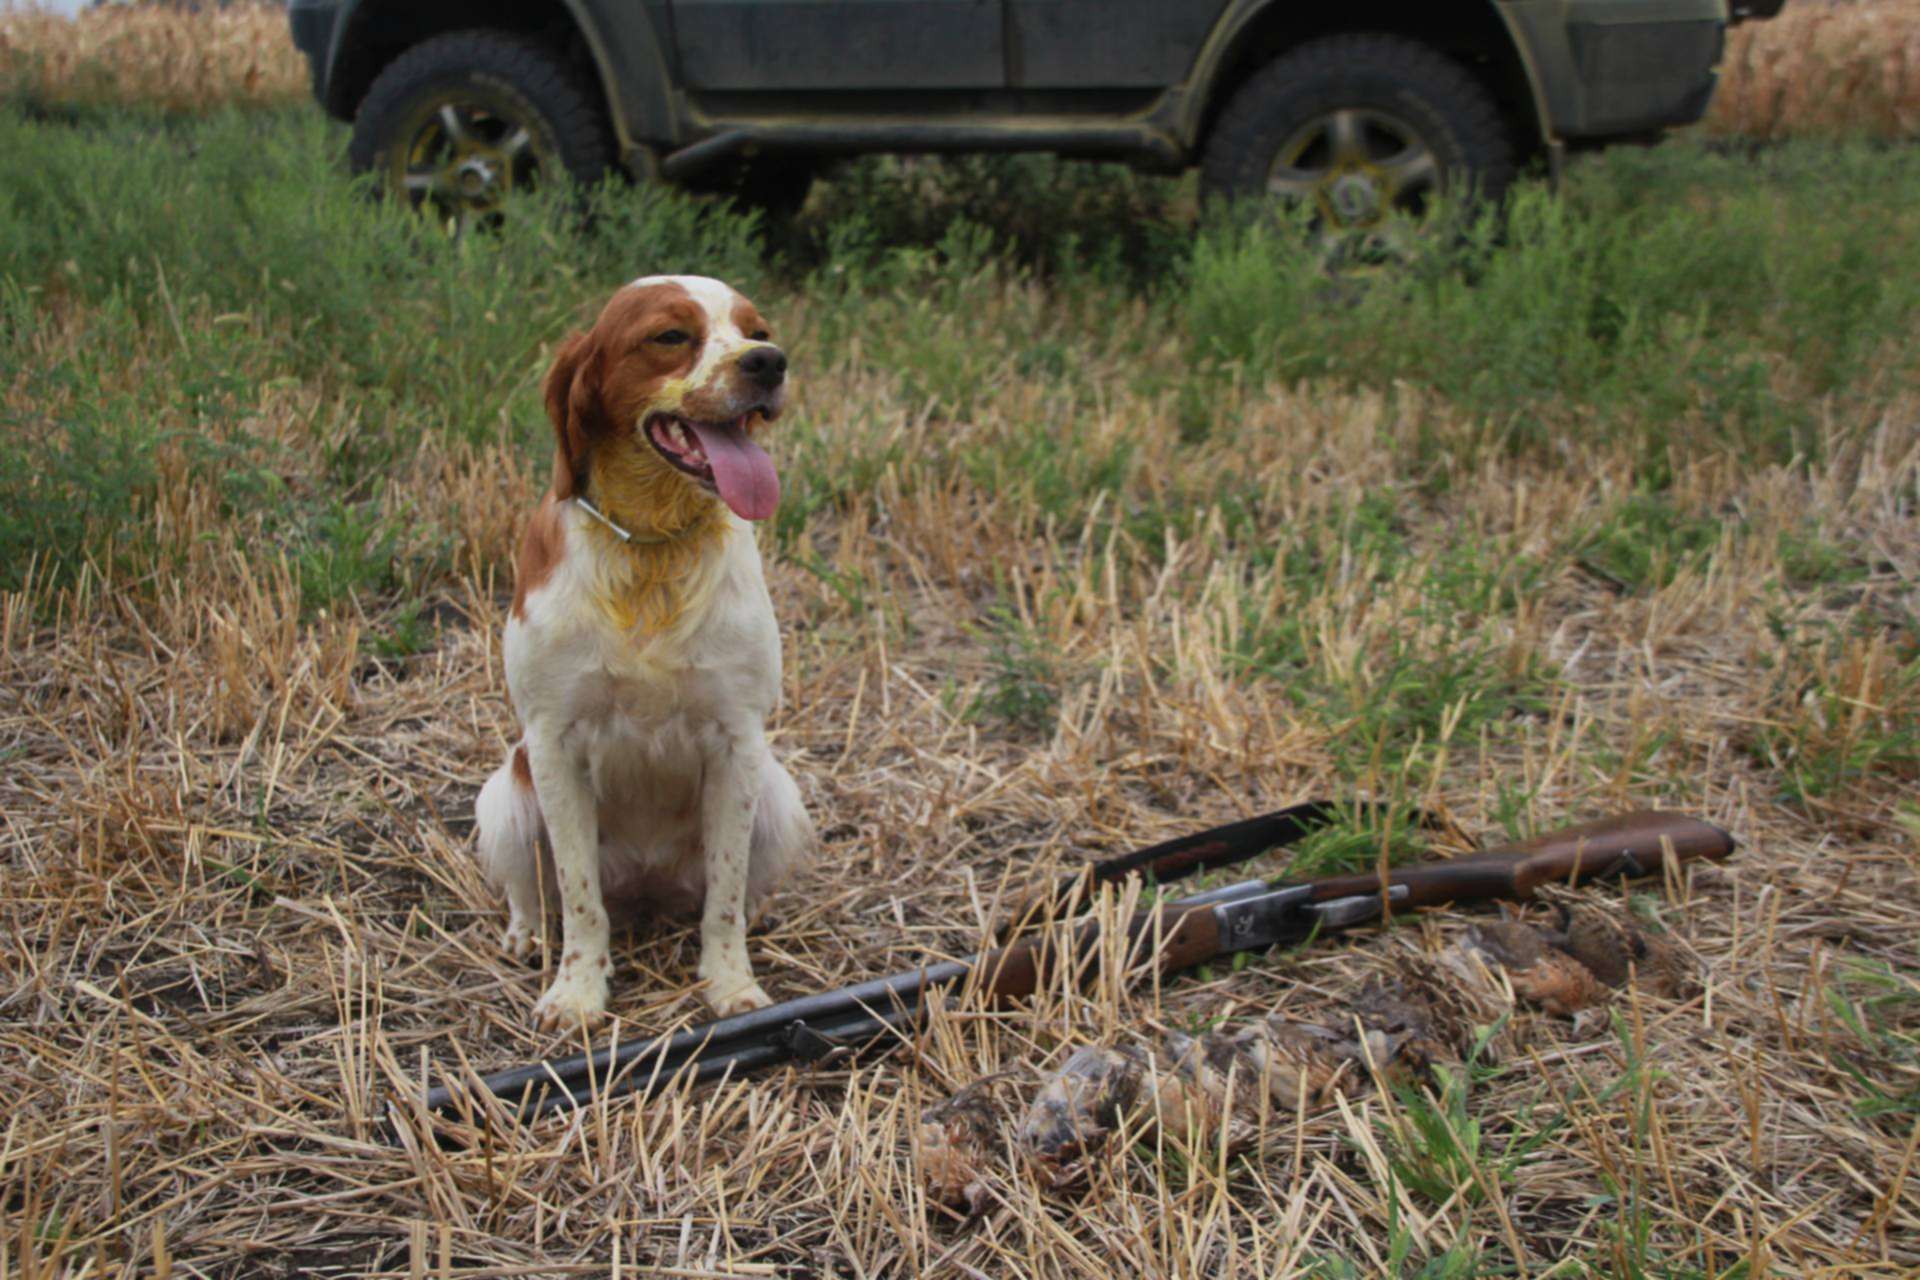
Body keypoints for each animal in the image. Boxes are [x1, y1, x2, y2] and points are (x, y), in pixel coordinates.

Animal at [480, 276, 817, 1028]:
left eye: (757, 330)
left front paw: (730, 984)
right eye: (669, 336)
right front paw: (577, 991)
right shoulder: (552, 743)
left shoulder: (738, 741)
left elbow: (724, 896)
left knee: (739, 890)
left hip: (778, 794)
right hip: (504, 796)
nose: (770, 363)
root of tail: (646, 887)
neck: (651, 548)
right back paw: (525, 935)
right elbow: (579, 898)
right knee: (532, 891)